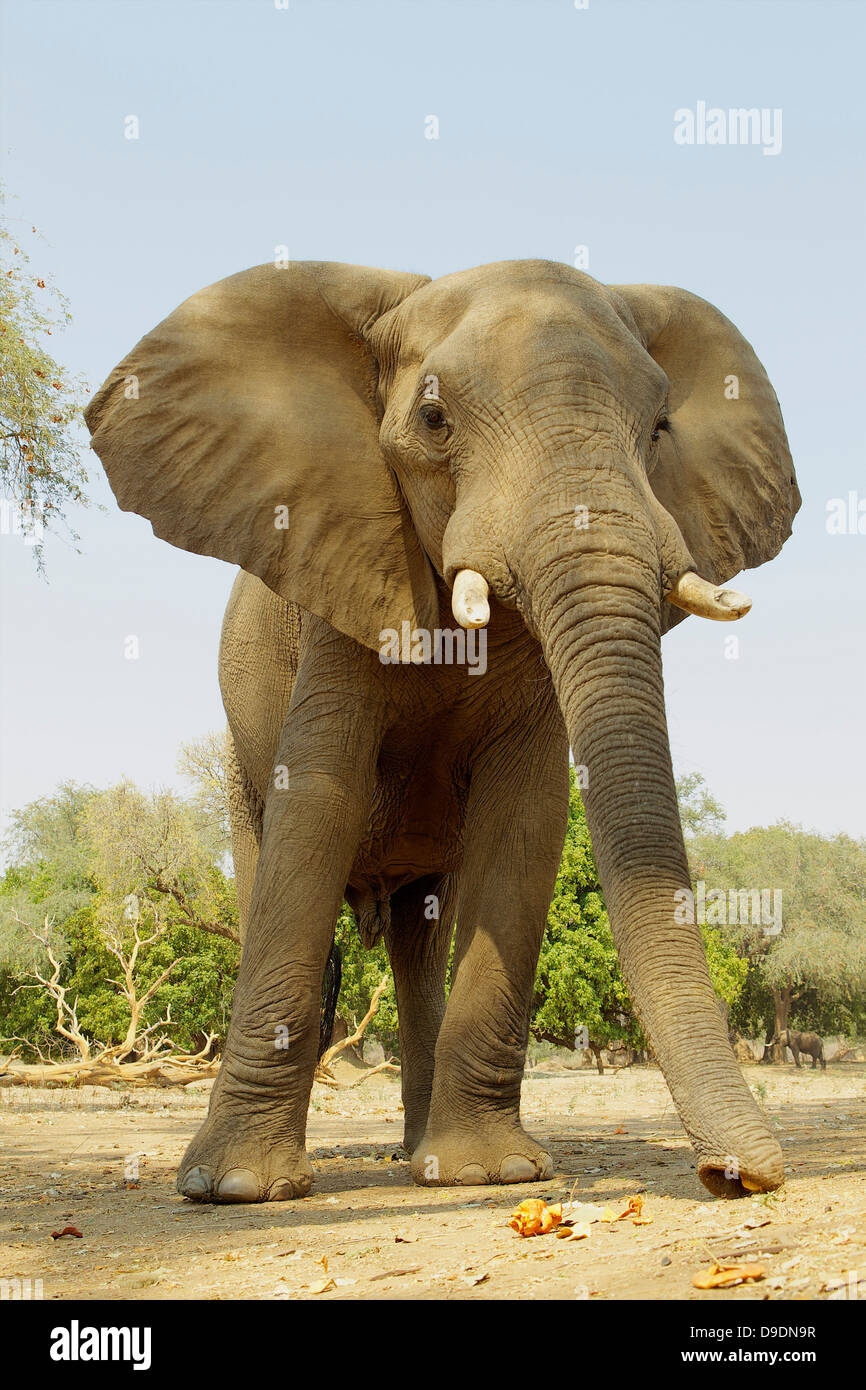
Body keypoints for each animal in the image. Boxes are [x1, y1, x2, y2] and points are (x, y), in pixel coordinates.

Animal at [84, 258, 800, 1206]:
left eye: (658, 428)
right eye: (433, 421)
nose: (736, 1177)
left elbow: (527, 816)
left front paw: (491, 1173)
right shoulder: (341, 581)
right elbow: (319, 800)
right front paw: (231, 1190)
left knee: (420, 930)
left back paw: (421, 1158)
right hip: (236, 756)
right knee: (269, 864)